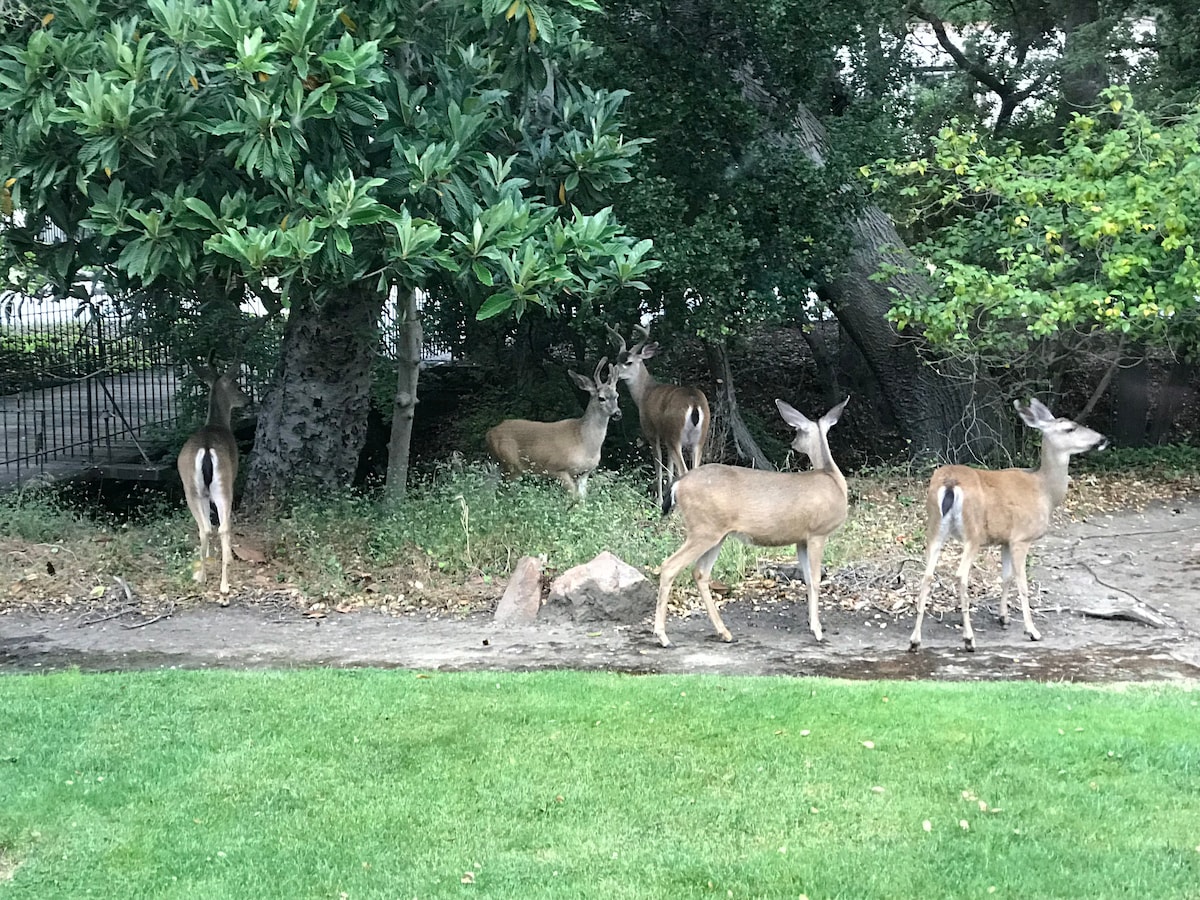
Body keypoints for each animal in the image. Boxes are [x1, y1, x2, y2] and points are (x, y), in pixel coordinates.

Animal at [176, 355, 249, 600]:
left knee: (207, 528)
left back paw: (205, 578)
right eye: (237, 385)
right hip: (220, 486)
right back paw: (222, 584)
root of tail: (207, 449)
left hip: (194, 489)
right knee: (219, 527)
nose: (247, 400)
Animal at [484, 357, 624, 501]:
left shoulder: (584, 473)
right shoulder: (556, 468)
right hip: (510, 464)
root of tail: (489, 433)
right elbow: (573, 497)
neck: (583, 440)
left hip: (500, 465)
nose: (617, 413)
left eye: (617, 395)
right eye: (601, 398)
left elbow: (582, 499)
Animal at [604, 321, 705, 508]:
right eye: (616, 359)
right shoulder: (667, 437)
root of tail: (694, 402)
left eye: (628, 362)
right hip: (698, 439)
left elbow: (658, 466)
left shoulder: (652, 431)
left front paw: (658, 500)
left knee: (684, 470)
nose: (611, 374)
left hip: (676, 434)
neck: (645, 393)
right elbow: (670, 468)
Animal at [652, 398, 849, 643]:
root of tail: (679, 485)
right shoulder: (817, 533)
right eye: (797, 430)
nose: (793, 444)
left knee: (700, 573)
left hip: (715, 533)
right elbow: (814, 579)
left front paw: (813, 624)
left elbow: (807, 579)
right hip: (703, 529)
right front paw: (818, 630)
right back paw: (662, 636)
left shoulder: (801, 539)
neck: (833, 479)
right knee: (670, 566)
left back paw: (724, 632)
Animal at [912, 398, 1108, 652]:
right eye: (1070, 428)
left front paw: (1003, 618)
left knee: (926, 575)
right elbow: (1021, 583)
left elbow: (1004, 577)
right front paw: (1032, 630)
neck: (1045, 491)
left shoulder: (1004, 539)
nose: (1102, 439)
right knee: (961, 575)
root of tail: (950, 482)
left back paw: (915, 640)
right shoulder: (1020, 538)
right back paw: (969, 639)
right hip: (973, 532)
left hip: (935, 527)